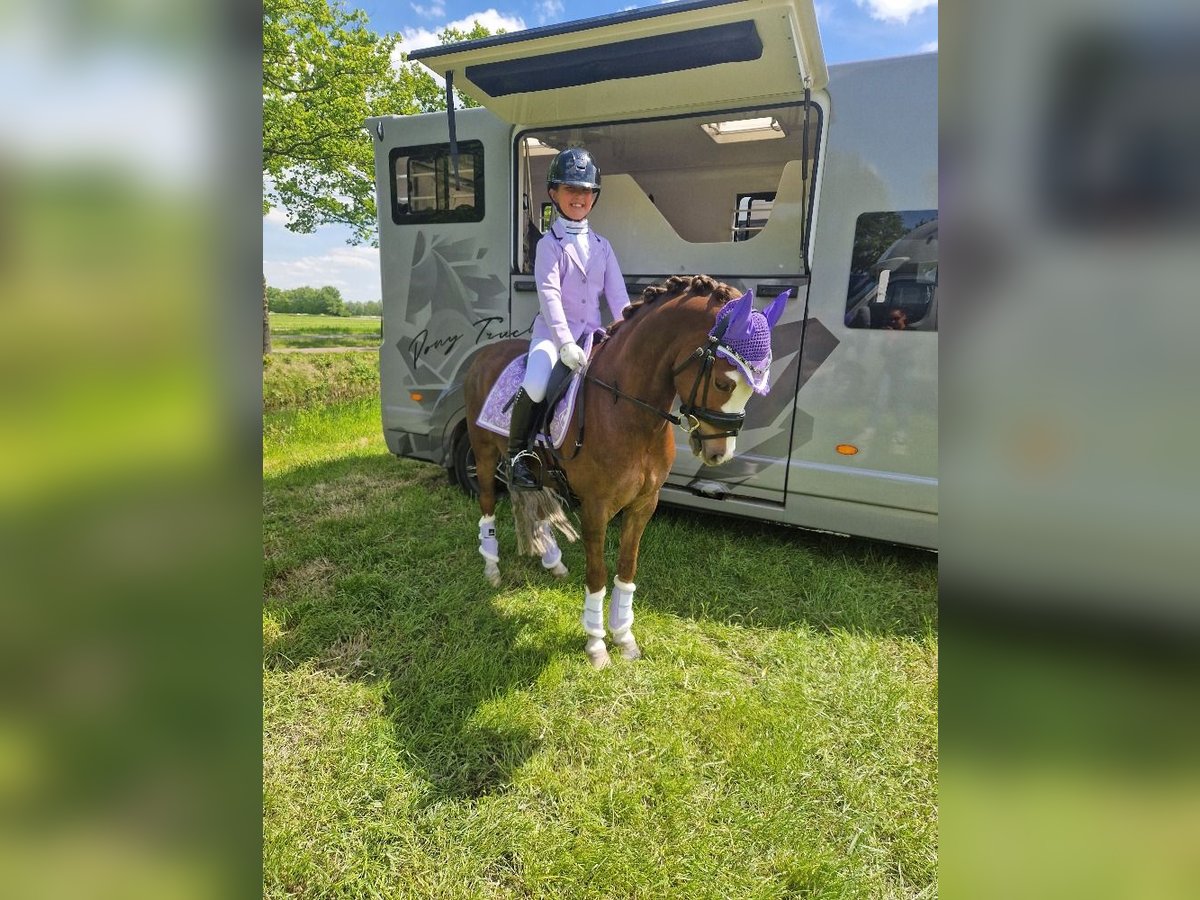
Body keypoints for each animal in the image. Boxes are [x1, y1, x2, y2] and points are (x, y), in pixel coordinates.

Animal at [463, 274, 787, 668]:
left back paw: (552, 561)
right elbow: (597, 575)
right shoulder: (596, 507)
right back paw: (492, 568)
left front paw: (624, 638)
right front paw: (596, 645)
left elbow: (627, 569)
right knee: (487, 504)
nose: (719, 453)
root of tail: (482, 355)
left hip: (537, 472)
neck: (630, 412)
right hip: (483, 455)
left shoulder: (644, 503)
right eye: (724, 383)